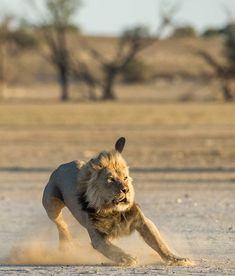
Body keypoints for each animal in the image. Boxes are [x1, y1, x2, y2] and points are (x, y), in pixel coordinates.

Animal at [42, 137, 193, 266]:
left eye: (125, 178)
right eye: (111, 179)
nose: (125, 190)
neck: (112, 210)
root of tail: (63, 165)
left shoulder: (143, 222)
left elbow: (159, 242)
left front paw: (176, 259)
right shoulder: (98, 236)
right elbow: (112, 249)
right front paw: (127, 258)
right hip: (51, 204)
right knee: (61, 224)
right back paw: (66, 245)